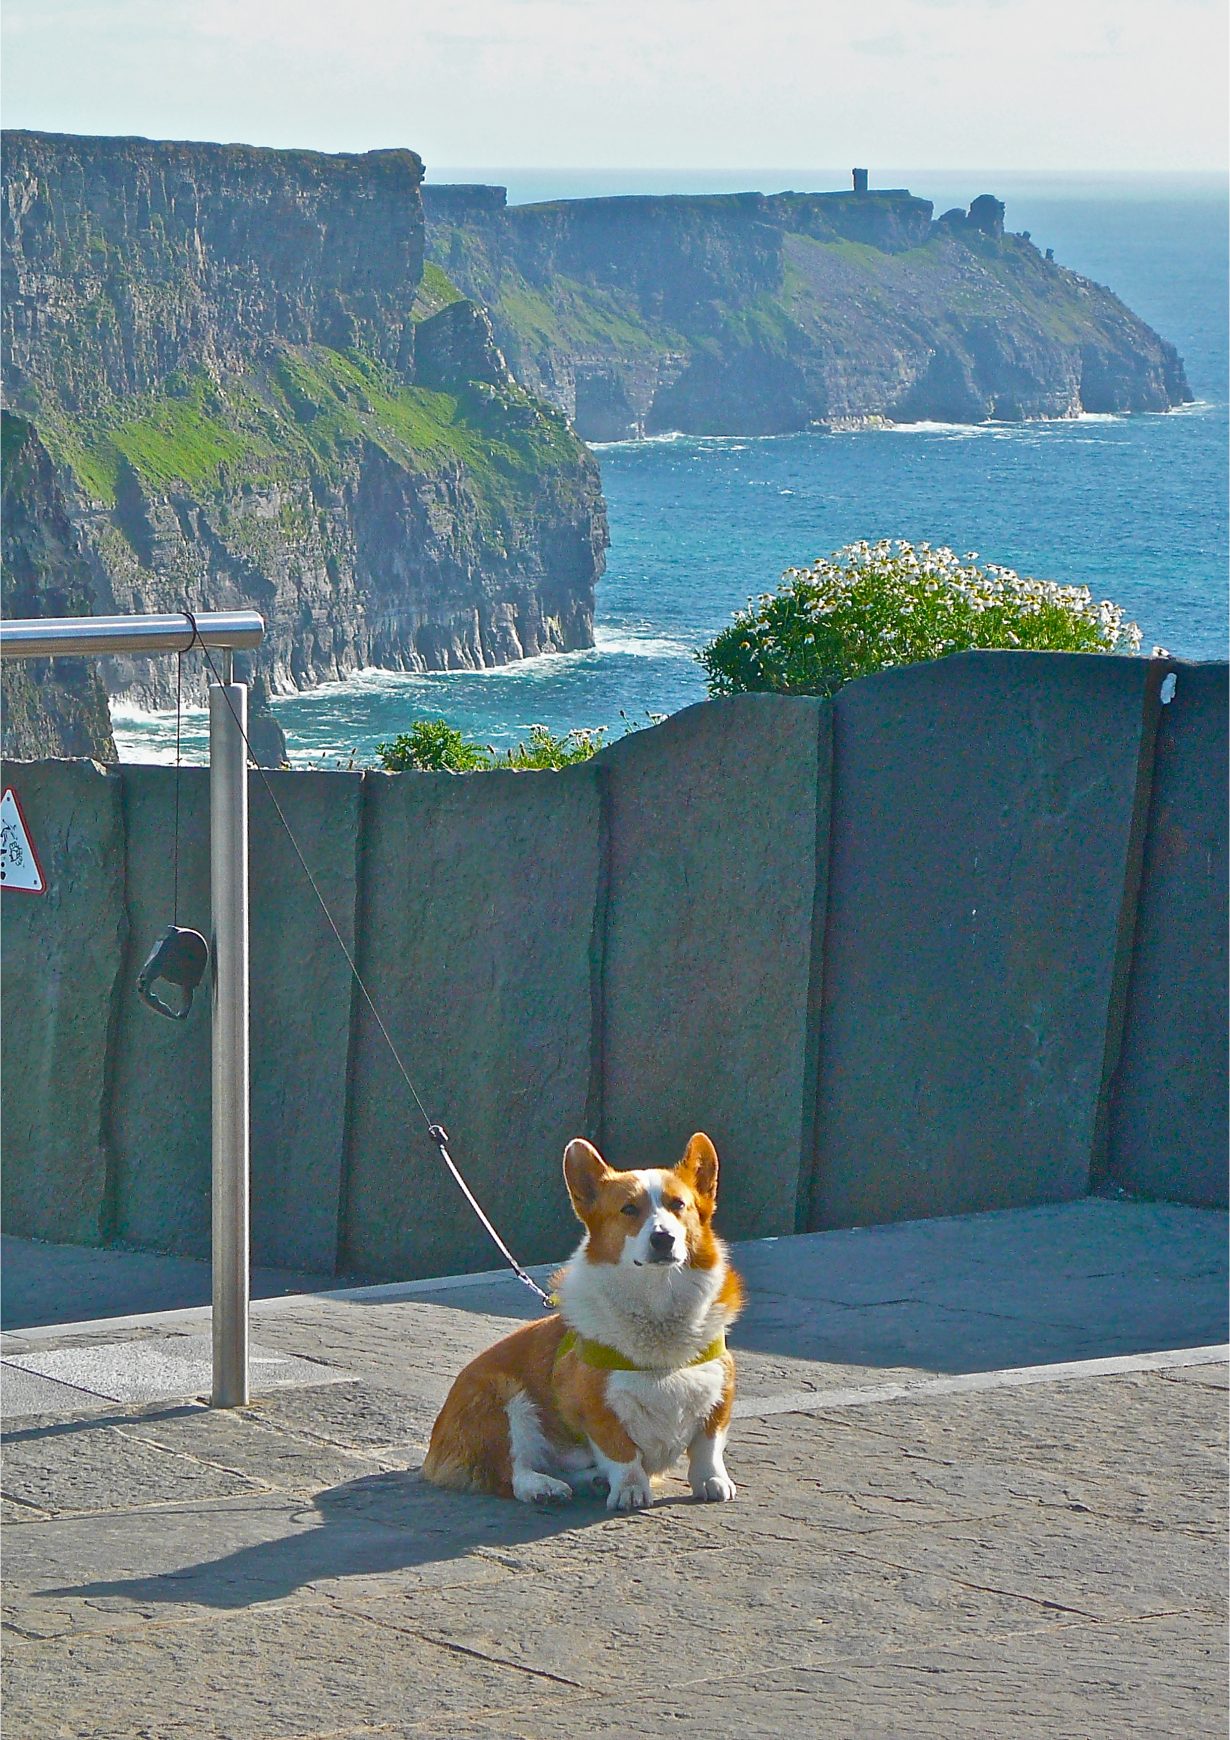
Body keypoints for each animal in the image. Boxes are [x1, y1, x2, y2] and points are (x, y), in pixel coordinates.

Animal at [422, 1134, 741, 1503]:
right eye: (629, 1209)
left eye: (678, 1205)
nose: (663, 1238)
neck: (657, 1305)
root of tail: (434, 1450)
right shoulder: (597, 1407)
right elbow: (622, 1453)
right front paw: (630, 1490)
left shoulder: (719, 1389)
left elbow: (708, 1446)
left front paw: (712, 1480)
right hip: (505, 1401)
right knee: (511, 1471)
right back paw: (543, 1487)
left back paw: (591, 1480)